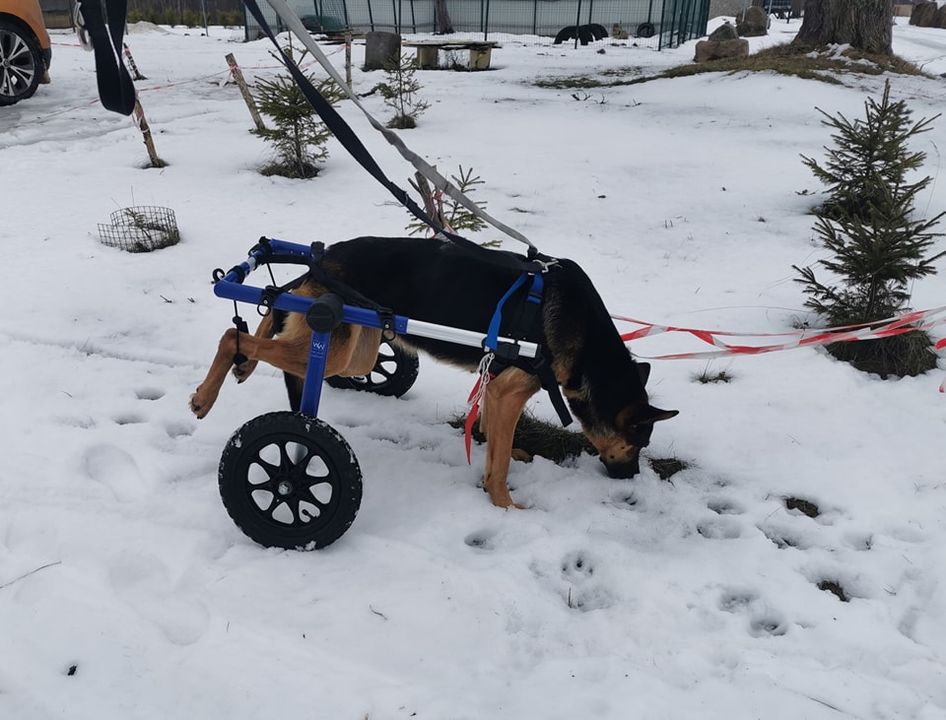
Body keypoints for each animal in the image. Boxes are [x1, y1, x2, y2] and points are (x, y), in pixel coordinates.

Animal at [190, 236, 678, 508]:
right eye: (639, 444)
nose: (632, 478)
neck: (588, 343)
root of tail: (322, 260)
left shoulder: (495, 384)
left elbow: (494, 437)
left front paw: (500, 452)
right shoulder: (512, 390)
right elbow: (498, 465)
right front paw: (505, 505)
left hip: (355, 351)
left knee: (273, 309)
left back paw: (245, 363)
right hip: (338, 349)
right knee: (233, 335)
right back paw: (207, 393)